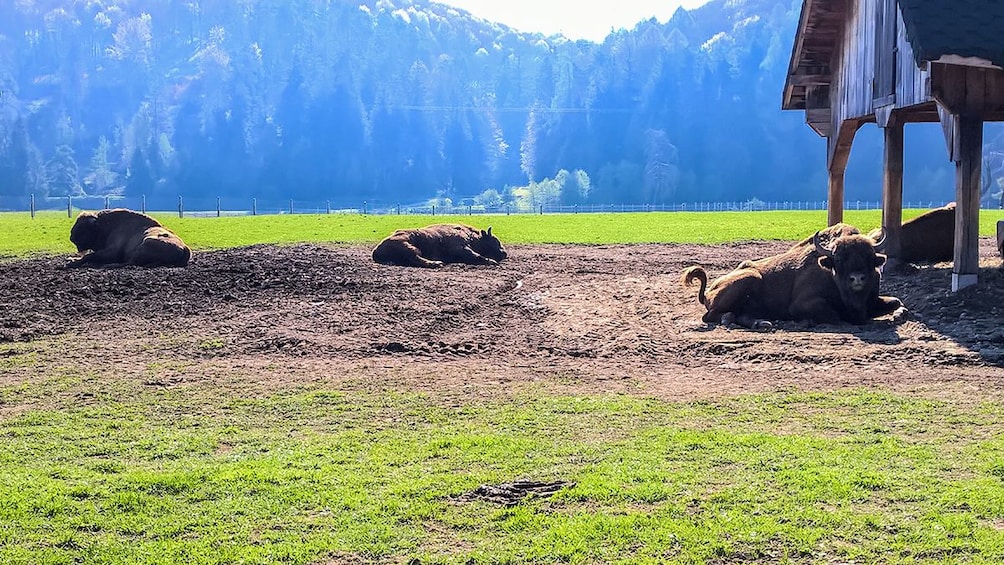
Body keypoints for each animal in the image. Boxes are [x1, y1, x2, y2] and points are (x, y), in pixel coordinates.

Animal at [371, 221, 506, 268]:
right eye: (495, 240)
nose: (504, 253)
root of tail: (376, 249)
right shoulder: (461, 247)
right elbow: (476, 255)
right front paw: (491, 261)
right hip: (409, 246)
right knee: (416, 258)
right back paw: (437, 263)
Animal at [678, 223, 907, 329]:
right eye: (839, 259)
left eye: (869, 257)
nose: (857, 278)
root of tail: (709, 290)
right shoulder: (801, 304)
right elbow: (834, 315)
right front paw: (808, 321)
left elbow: (895, 301)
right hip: (750, 278)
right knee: (712, 316)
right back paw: (731, 319)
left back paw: (761, 323)